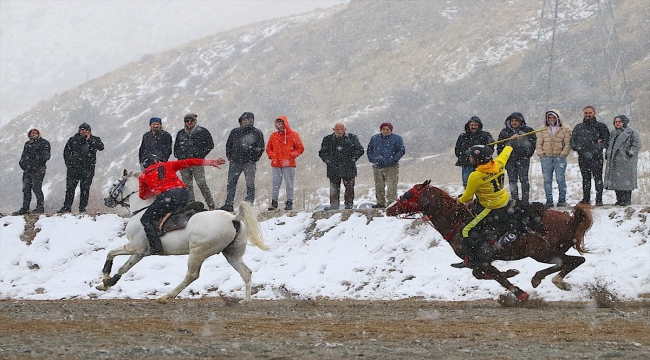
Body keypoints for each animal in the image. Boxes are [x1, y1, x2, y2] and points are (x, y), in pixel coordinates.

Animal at [98, 170, 266, 302]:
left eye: (115, 184)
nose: (106, 200)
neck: (141, 210)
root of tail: (233, 218)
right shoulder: (141, 252)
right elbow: (124, 268)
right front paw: (107, 283)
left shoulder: (135, 247)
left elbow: (110, 253)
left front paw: (105, 278)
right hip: (232, 254)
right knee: (246, 272)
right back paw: (246, 300)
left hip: (198, 252)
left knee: (192, 275)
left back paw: (167, 296)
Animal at [384, 180, 592, 300]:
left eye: (408, 194)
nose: (388, 209)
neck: (457, 220)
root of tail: (571, 219)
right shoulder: (479, 262)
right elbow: (484, 274)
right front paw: (512, 272)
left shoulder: (480, 259)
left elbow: (496, 276)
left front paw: (519, 293)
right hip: (549, 252)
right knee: (574, 261)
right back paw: (547, 279)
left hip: (542, 253)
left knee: (572, 261)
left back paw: (548, 279)